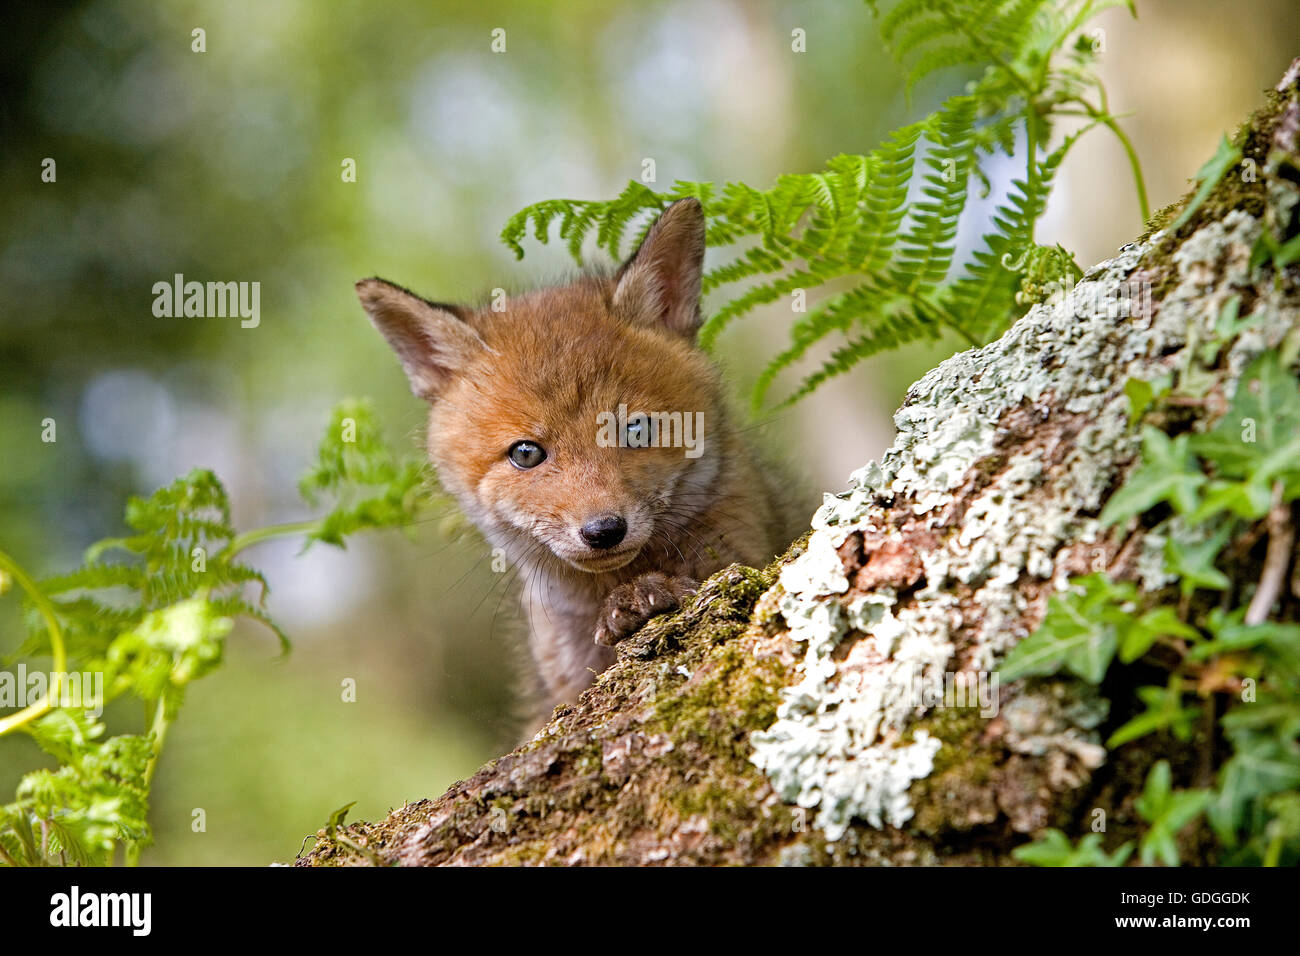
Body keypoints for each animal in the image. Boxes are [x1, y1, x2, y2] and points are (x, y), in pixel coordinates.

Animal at [357, 198, 802, 722]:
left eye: (636, 428)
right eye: (526, 453)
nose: (604, 530)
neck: (612, 583)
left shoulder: (745, 552)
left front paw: (646, 596)